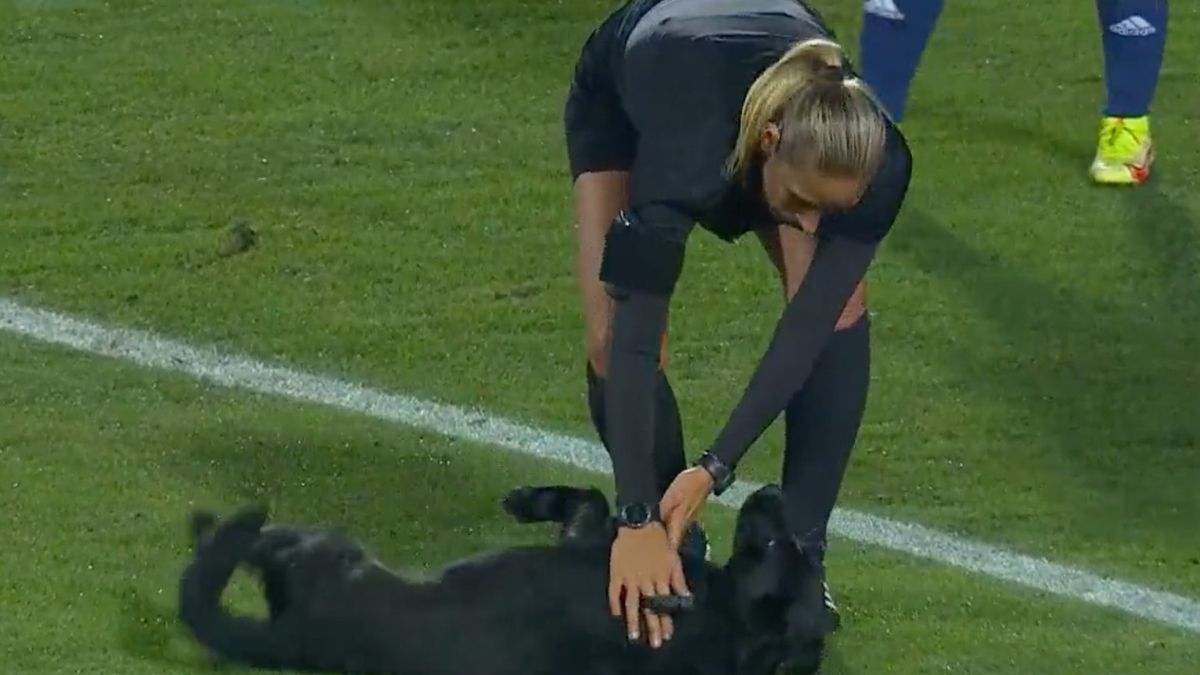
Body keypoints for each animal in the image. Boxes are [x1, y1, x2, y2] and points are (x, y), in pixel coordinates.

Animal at [177, 480, 835, 667]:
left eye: (773, 542)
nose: (773, 491)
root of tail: (296, 640)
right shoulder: (593, 538)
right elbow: (590, 499)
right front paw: (528, 499)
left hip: (323, 545)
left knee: (253, 544)